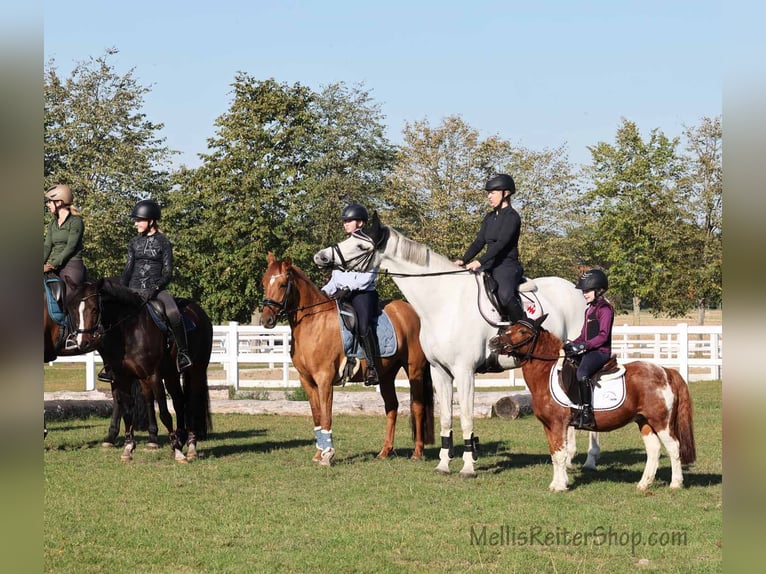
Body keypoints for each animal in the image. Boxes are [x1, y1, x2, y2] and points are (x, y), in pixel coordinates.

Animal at [68, 278, 213, 463]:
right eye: (73, 309)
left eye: (94, 308)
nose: (83, 342)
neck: (129, 329)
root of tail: (199, 312)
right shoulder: (122, 378)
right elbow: (128, 413)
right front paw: (128, 449)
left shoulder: (153, 376)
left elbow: (164, 413)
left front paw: (178, 452)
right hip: (171, 375)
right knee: (179, 402)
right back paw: (180, 439)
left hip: (196, 371)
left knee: (191, 403)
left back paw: (191, 446)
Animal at [260, 253, 434, 466]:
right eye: (264, 283)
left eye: (283, 284)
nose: (266, 320)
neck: (313, 322)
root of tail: (412, 312)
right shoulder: (306, 380)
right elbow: (317, 416)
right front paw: (319, 454)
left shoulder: (324, 379)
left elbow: (326, 416)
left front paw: (327, 455)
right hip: (386, 375)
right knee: (391, 407)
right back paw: (384, 452)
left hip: (414, 370)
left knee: (417, 407)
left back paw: (417, 452)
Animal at [313, 211, 599, 478]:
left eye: (361, 245)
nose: (321, 257)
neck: (444, 302)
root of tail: (577, 292)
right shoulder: (440, 371)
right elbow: (446, 419)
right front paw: (443, 464)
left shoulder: (465, 372)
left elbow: (467, 418)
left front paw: (468, 467)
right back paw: (570, 458)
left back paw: (590, 459)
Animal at [489, 315, 696, 491]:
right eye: (511, 327)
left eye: (523, 331)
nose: (493, 342)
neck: (547, 373)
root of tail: (666, 371)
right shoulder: (548, 426)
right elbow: (555, 454)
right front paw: (557, 483)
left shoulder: (558, 424)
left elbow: (560, 454)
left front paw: (560, 486)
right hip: (644, 421)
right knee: (654, 450)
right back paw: (643, 484)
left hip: (661, 422)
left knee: (673, 447)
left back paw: (675, 484)